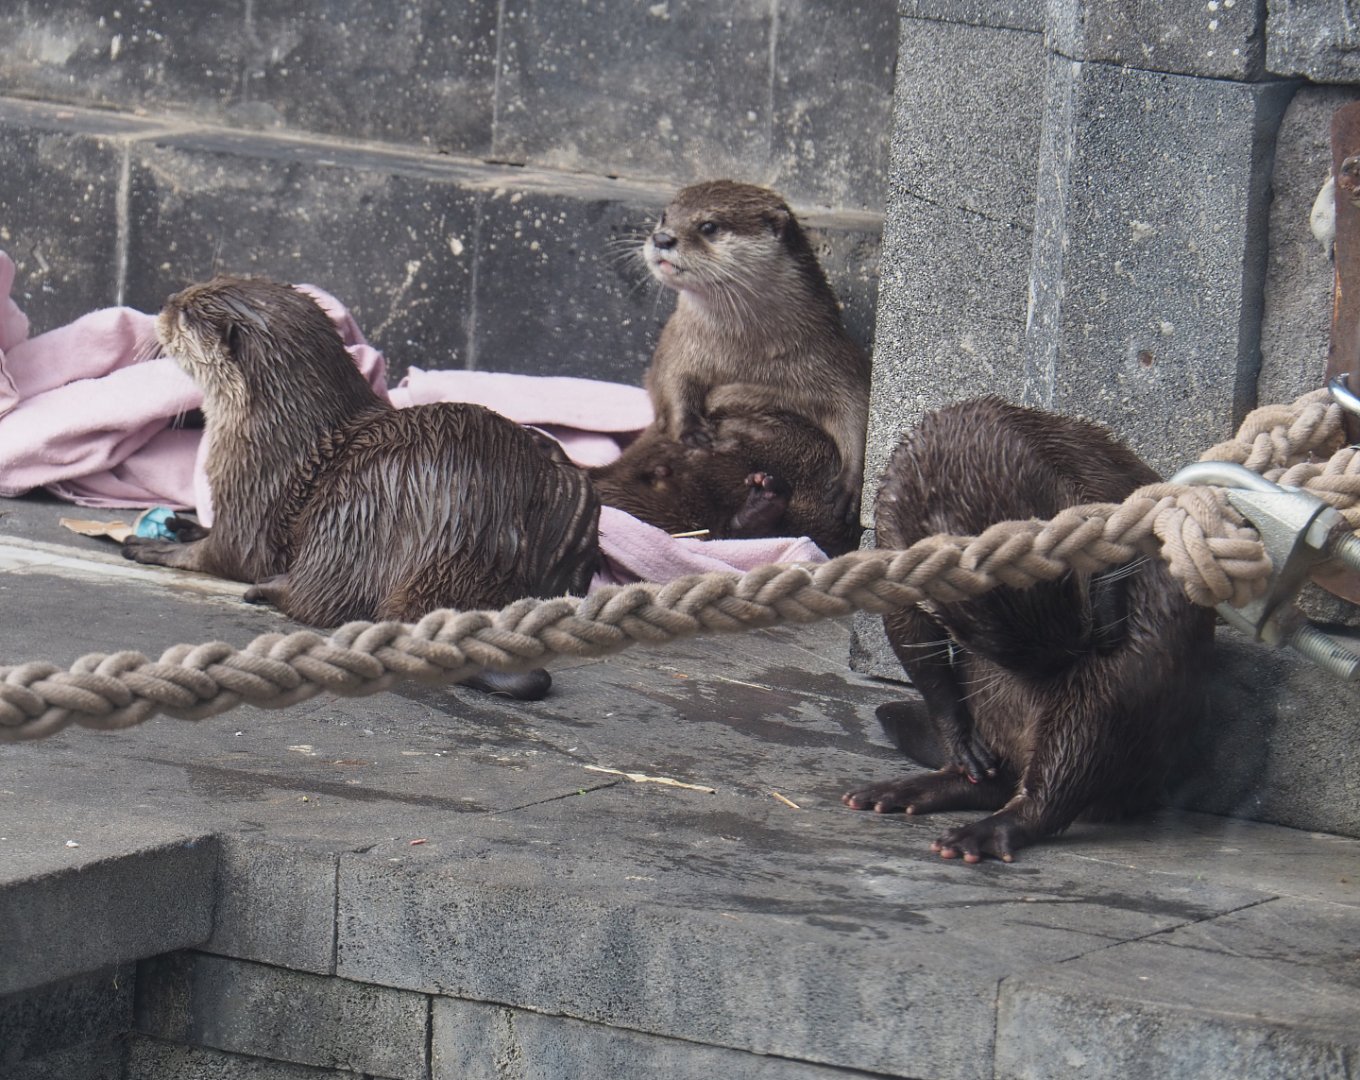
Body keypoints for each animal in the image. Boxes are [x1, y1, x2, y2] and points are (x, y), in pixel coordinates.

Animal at [122, 276, 600, 699]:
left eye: (188, 310)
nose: (164, 302)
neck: (269, 431)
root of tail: (468, 531)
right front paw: (181, 526)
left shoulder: (252, 496)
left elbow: (224, 554)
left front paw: (153, 547)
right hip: (572, 490)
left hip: (353, 503)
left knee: (323, 598)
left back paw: (268, 587)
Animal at [642, 180, 870, 524]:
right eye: (664, 216)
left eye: (709, 226)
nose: (662, 238)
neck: (745, 355)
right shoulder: (676, 345)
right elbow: (668, 381)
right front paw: (692, 430)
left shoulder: (831, 355)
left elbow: (857, 406)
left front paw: (850, 482)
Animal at [843, 397, 1214, 863]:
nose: (1089, 643)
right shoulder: (892, 535)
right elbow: (909, 635)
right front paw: (959, 738)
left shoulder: (1085, 474)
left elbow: (1115, 526)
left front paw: (1110, 606)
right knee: (1002, 778)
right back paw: (914, 789)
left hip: (1120, 693)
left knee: (1070, 762)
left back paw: (982, 833)